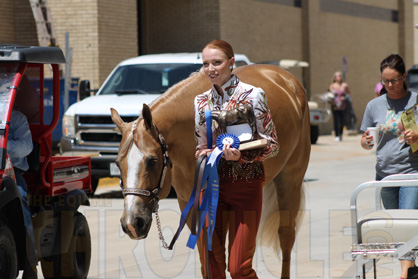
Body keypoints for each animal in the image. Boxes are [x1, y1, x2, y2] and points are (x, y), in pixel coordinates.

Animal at [111, 64, 310, 279]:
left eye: (152, 161)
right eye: (118, 163)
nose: (132, 223)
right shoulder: (190, 205)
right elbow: (208, 260)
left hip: (290, 180)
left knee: (286, 236)